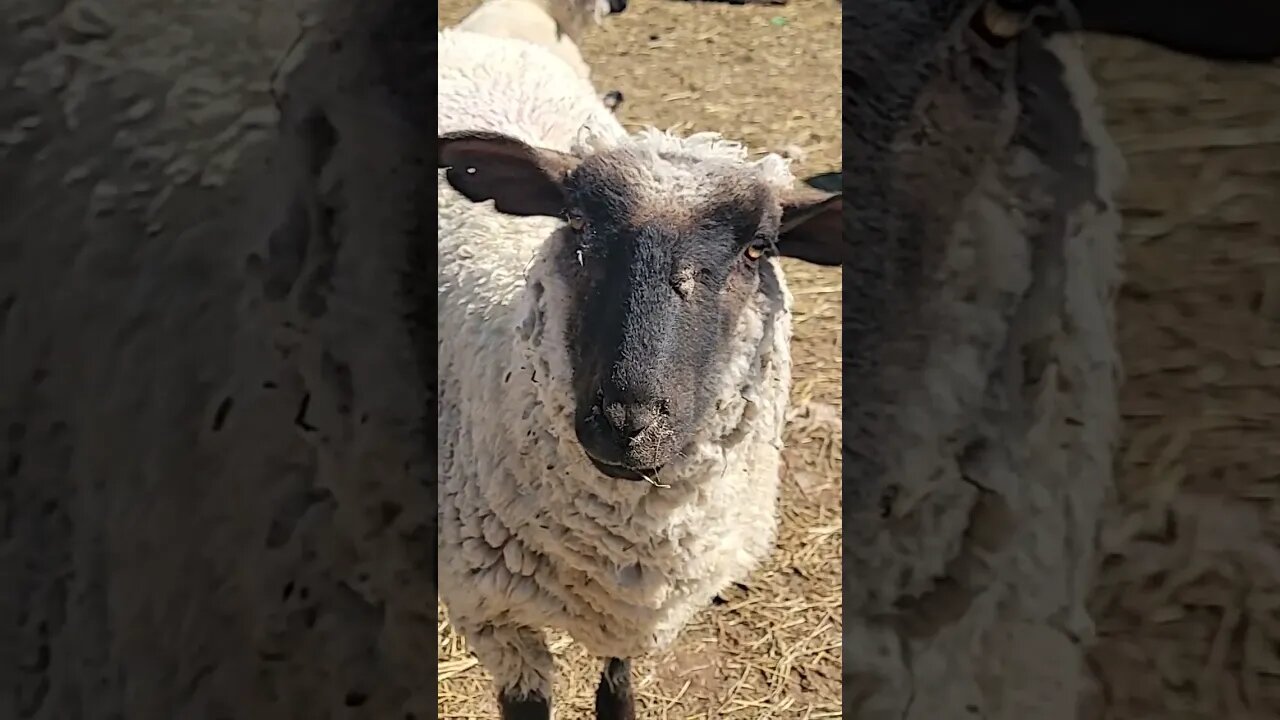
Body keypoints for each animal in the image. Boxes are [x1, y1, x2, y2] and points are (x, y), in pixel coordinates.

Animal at [436, 25, 842, 720]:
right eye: (576, 221)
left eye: (757, 248)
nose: (628, 422)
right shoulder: (491, 614)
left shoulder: (631, 617)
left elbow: (616, 691)